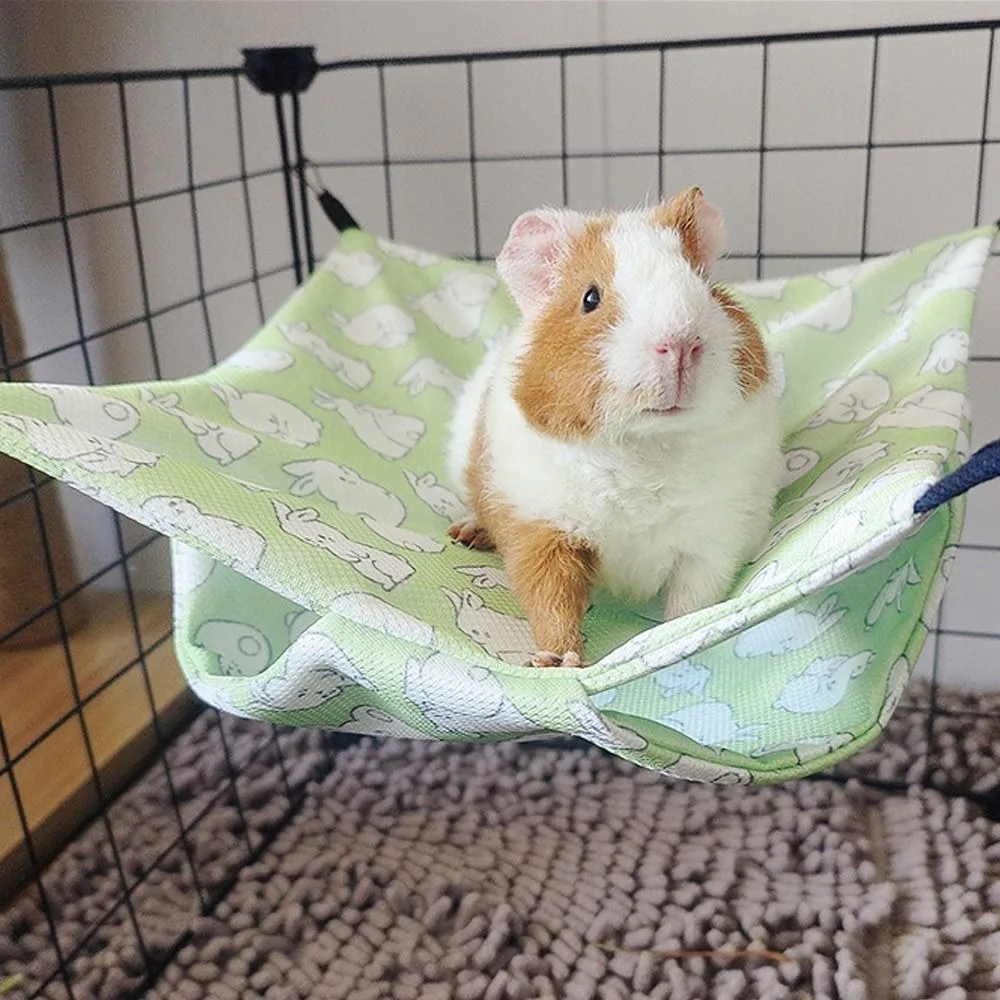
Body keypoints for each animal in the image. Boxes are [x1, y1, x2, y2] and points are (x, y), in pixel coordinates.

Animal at [447, 187, 782, 668]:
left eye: (703, 285)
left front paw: (669, 638)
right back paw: (466, 535)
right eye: (590, 298)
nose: (680, 345)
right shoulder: (541, 530)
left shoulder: (714, 541)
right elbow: (551, 600)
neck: (645, 445)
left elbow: (691, 601)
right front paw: (557, 662)